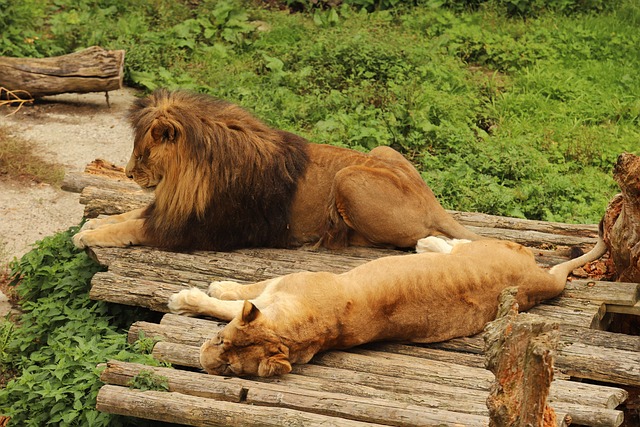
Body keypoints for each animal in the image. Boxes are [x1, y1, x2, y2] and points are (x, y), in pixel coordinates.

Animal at [73, 89, 482, 251]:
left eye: (143, 154)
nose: (128, 174)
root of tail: (431, 201)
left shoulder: (194, 229)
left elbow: (131, 226)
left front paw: (89, 236)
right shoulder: (172, 208)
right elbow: (129, 213)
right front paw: (96, 223)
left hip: (347, 178)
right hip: (382, 150)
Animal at [167, 233, 607, 377]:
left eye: (229, 366)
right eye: (221, 344)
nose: (204, 360)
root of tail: (538, 279)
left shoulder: (280, 284)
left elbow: (230, 299)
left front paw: (190, 298)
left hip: (487, 248)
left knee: (461, 242)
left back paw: (427, 242)